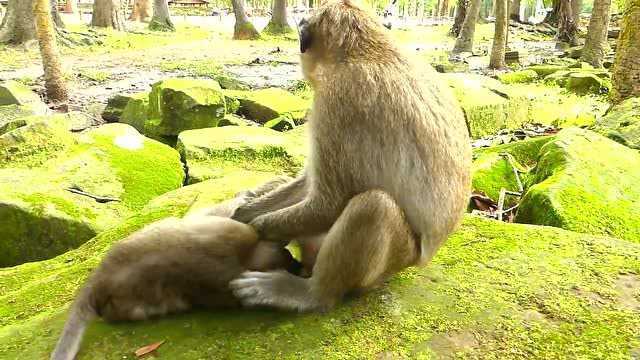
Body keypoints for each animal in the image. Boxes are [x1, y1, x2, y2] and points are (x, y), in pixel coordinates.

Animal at [230, 0, 470, 310]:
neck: (369, 50)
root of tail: (422, 258)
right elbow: (308, 182)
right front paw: (244, 210)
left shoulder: (338, 102)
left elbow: (329, 203)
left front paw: (251, 226)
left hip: (395, 258)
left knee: (373, 206)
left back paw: (310, 294)